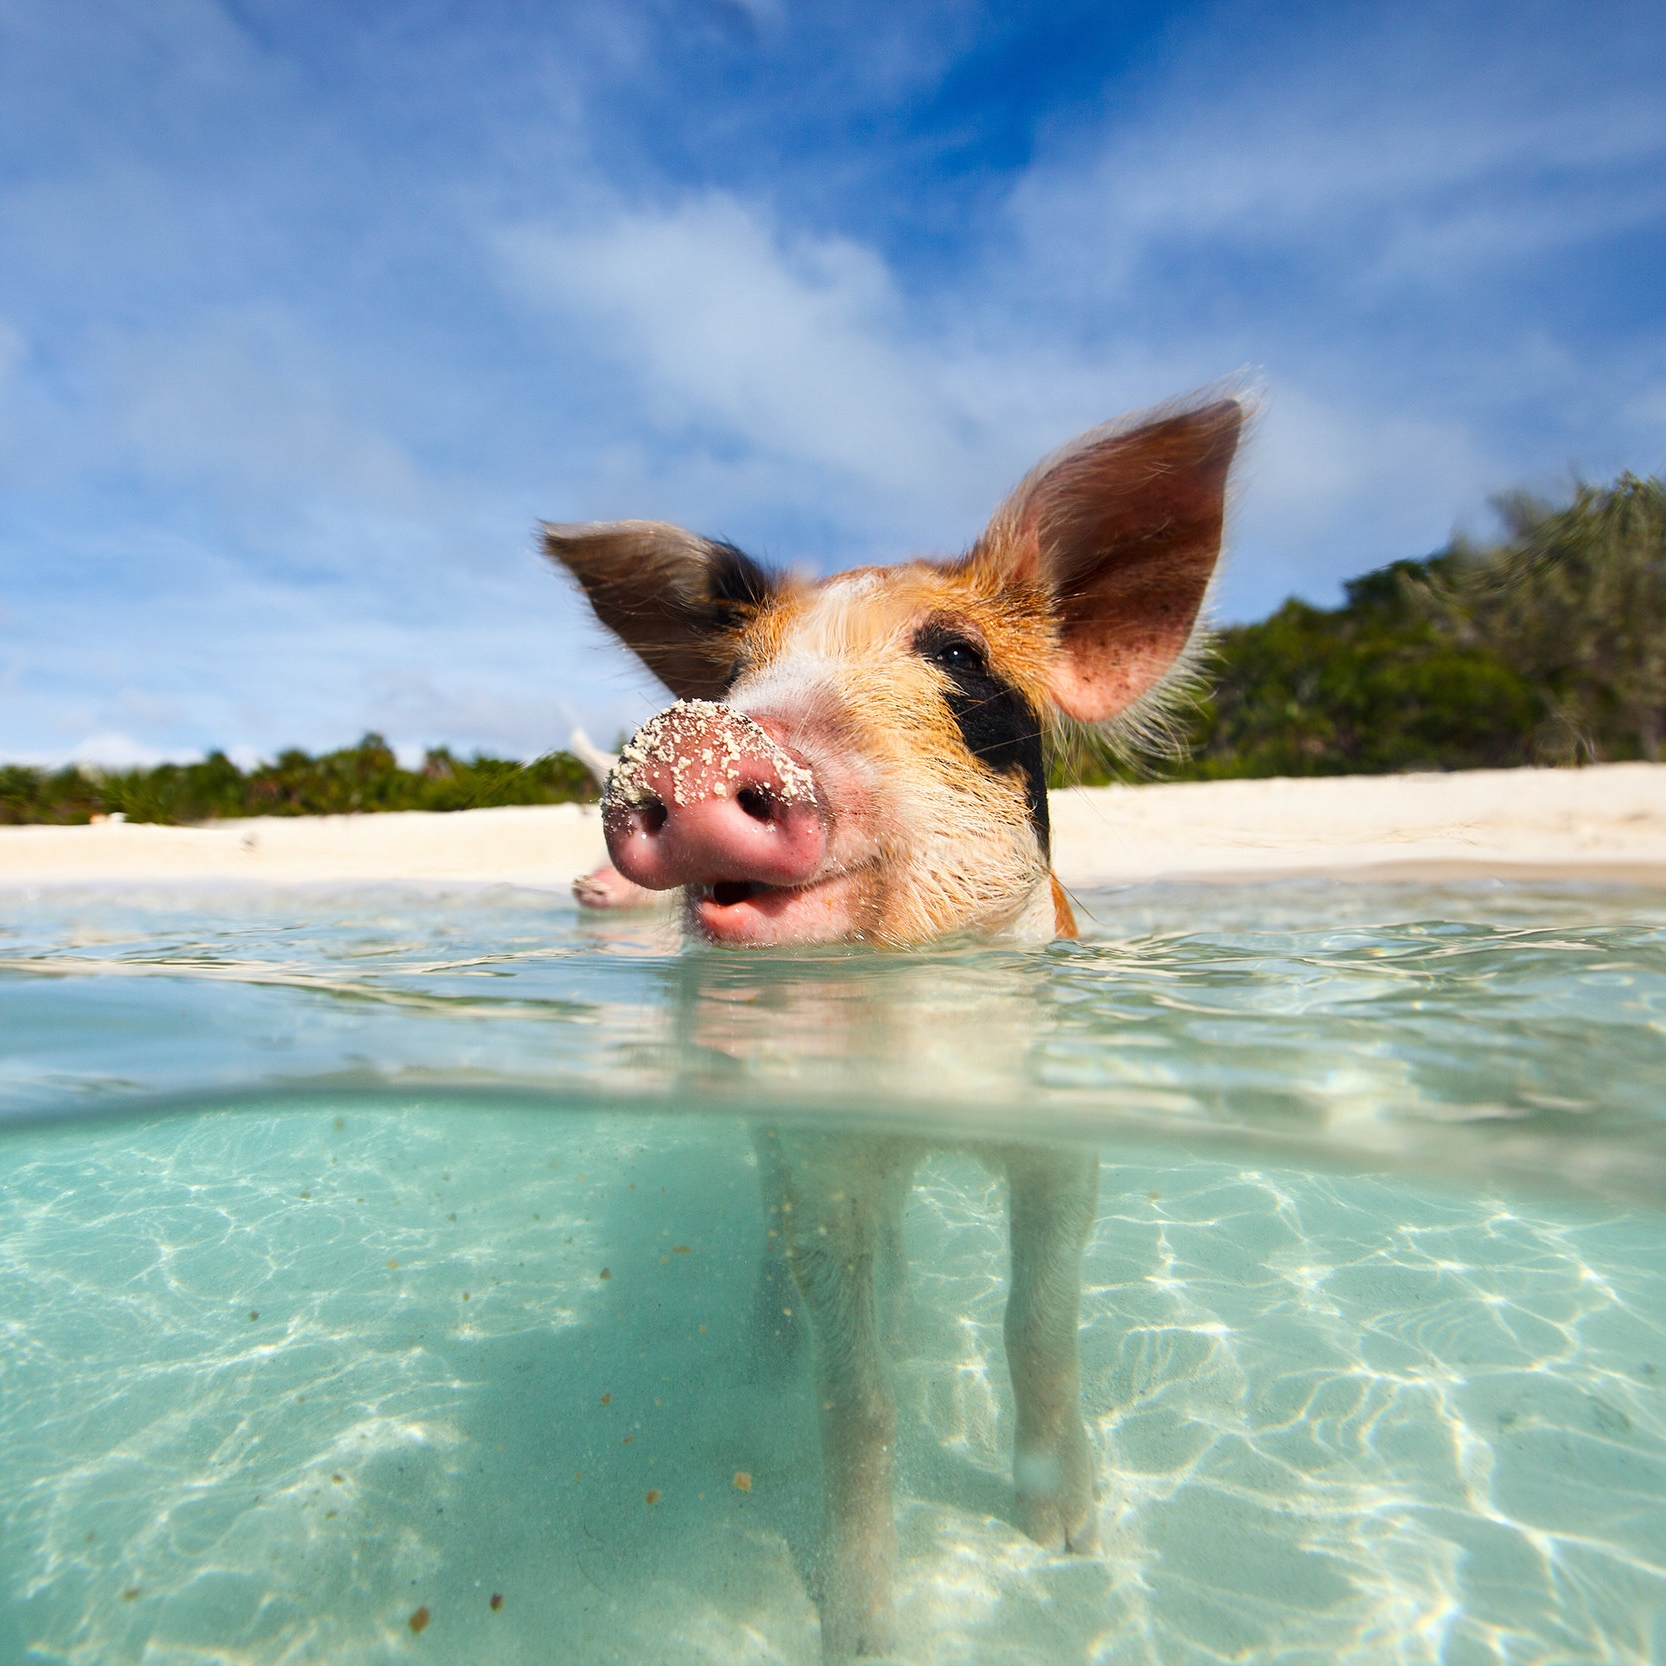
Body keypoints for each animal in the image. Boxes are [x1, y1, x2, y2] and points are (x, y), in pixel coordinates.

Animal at [543, 394, 1244, 1657]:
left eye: (956, 654)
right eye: (734, 673)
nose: (699, 736)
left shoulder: (1063, 1140)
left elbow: (1037, 1320)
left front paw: (1066, 1536)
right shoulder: (824, 1155)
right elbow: (854, 1395)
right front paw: (862, 1630)